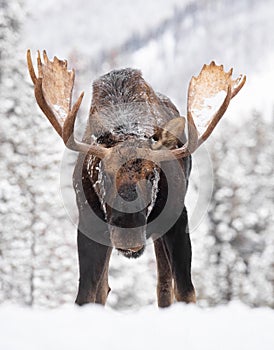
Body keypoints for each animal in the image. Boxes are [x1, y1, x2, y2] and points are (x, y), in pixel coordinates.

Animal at [26, 50, 246, 308]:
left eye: (152, 174)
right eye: (104, 173)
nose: (127, 235)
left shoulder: (177, 218)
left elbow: (185, 291)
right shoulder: (89, 224)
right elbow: (86, 295)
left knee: (163, 285)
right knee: (104, 288)